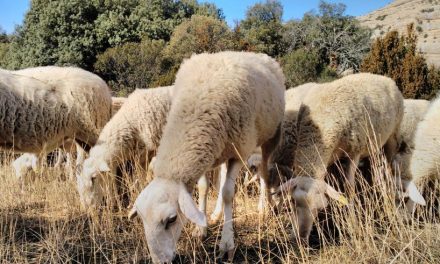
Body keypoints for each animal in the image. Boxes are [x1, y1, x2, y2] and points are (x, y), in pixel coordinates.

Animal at [127, 50, 286, 262]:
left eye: (171, 219)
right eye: (142, 219)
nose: (160, 261)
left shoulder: (239, 151)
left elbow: (228, 194)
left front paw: (227, 244)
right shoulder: (206, 152)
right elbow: (203, 188)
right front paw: (200, 230)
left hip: (270, 136)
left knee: (264, 171)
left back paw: (264, 207)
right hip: (224, 148)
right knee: (225, 175)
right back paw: (217, 213)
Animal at [276, 73, 414, 242]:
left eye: (318, 210)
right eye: (294, 203)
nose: (301, 237)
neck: (322, 120)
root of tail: (382, 77)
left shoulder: (354, 153)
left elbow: (349, 188)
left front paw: (352, 221)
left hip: (392, 137)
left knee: (388, 166)